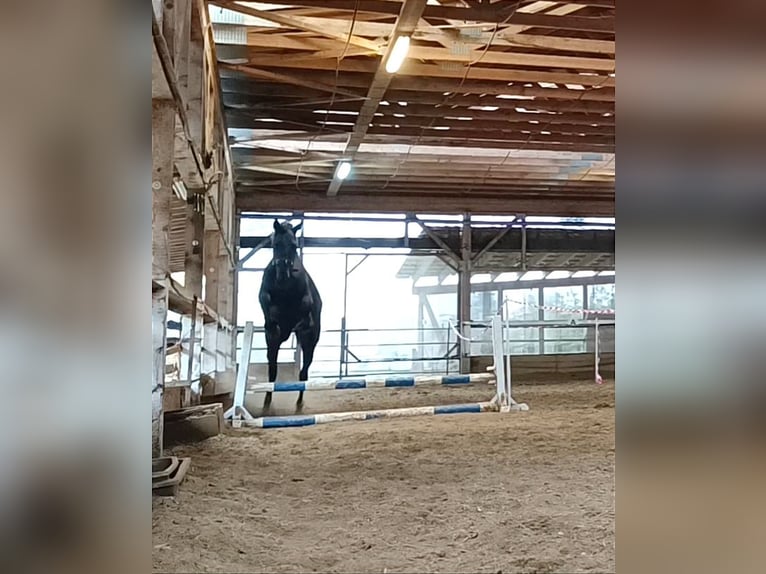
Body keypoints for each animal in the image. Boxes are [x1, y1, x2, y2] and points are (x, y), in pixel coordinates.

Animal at [260, 220, 322, 410]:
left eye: (294, 246)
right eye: (276, 244)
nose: (282, 273)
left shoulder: (306, 306)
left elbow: (304, 316)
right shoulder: (265, 294)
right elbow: (265, 300)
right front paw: (271, 324)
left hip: (310, 344)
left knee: (303, 373)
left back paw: (299, 403)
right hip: (274, 345)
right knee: (273, 369)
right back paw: (267, 401)